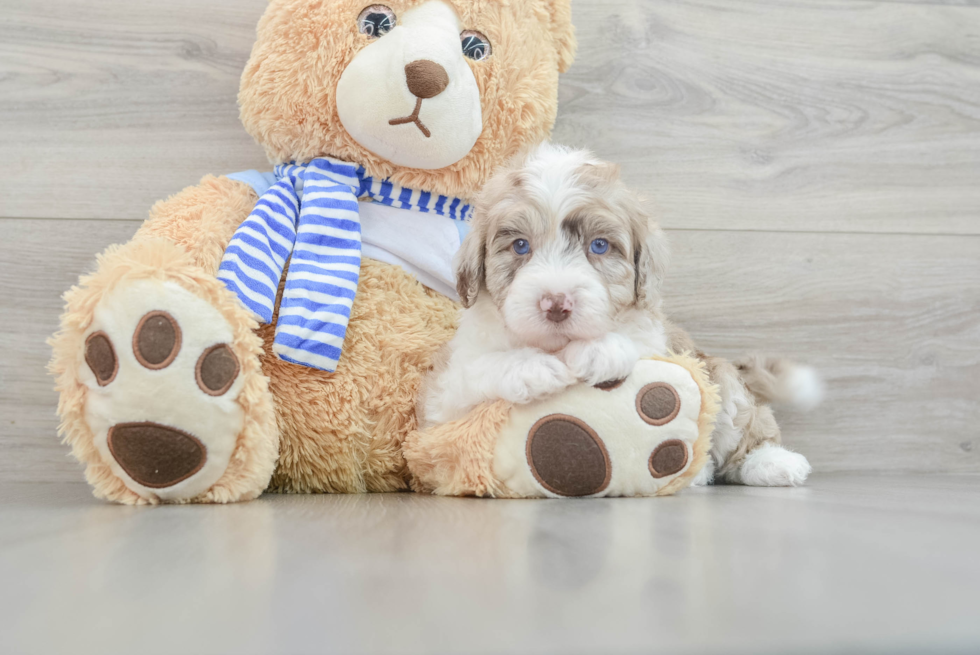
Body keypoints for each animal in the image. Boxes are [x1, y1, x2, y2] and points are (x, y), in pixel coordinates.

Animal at [422, 144, 820, 486]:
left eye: (599, 246)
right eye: (520, 245)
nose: (556, 303)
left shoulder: (661, 339)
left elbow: (637, 341)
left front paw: (599, 349)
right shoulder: (441, 402)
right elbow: (474, 371)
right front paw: (530, 367)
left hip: (723, 377)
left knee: (747, 427)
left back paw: (771, 462)